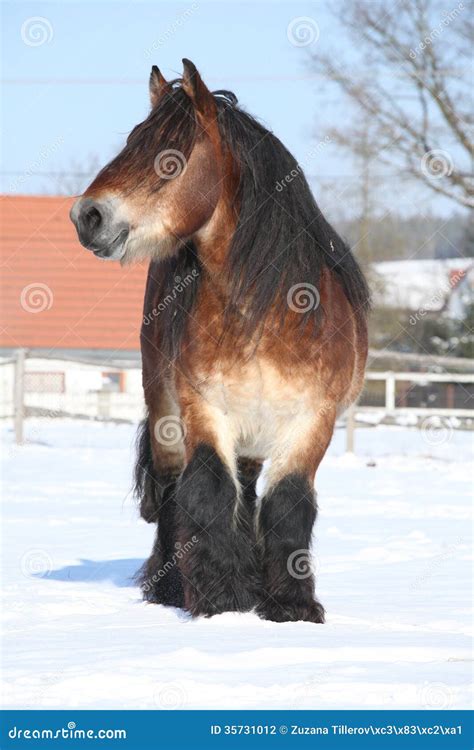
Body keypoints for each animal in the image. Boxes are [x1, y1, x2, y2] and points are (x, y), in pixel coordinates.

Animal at [70, 59, 370, 623]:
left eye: (169, 159)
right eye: (131, 141)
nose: (87, 216)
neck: (265, 317)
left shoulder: (311, 423)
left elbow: (288, 505)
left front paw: (291, 607)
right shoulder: (204, 410)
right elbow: (207, 492)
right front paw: (222, 602)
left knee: (248, 492)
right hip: (165, 413)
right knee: (173, 490)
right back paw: (169, 587)